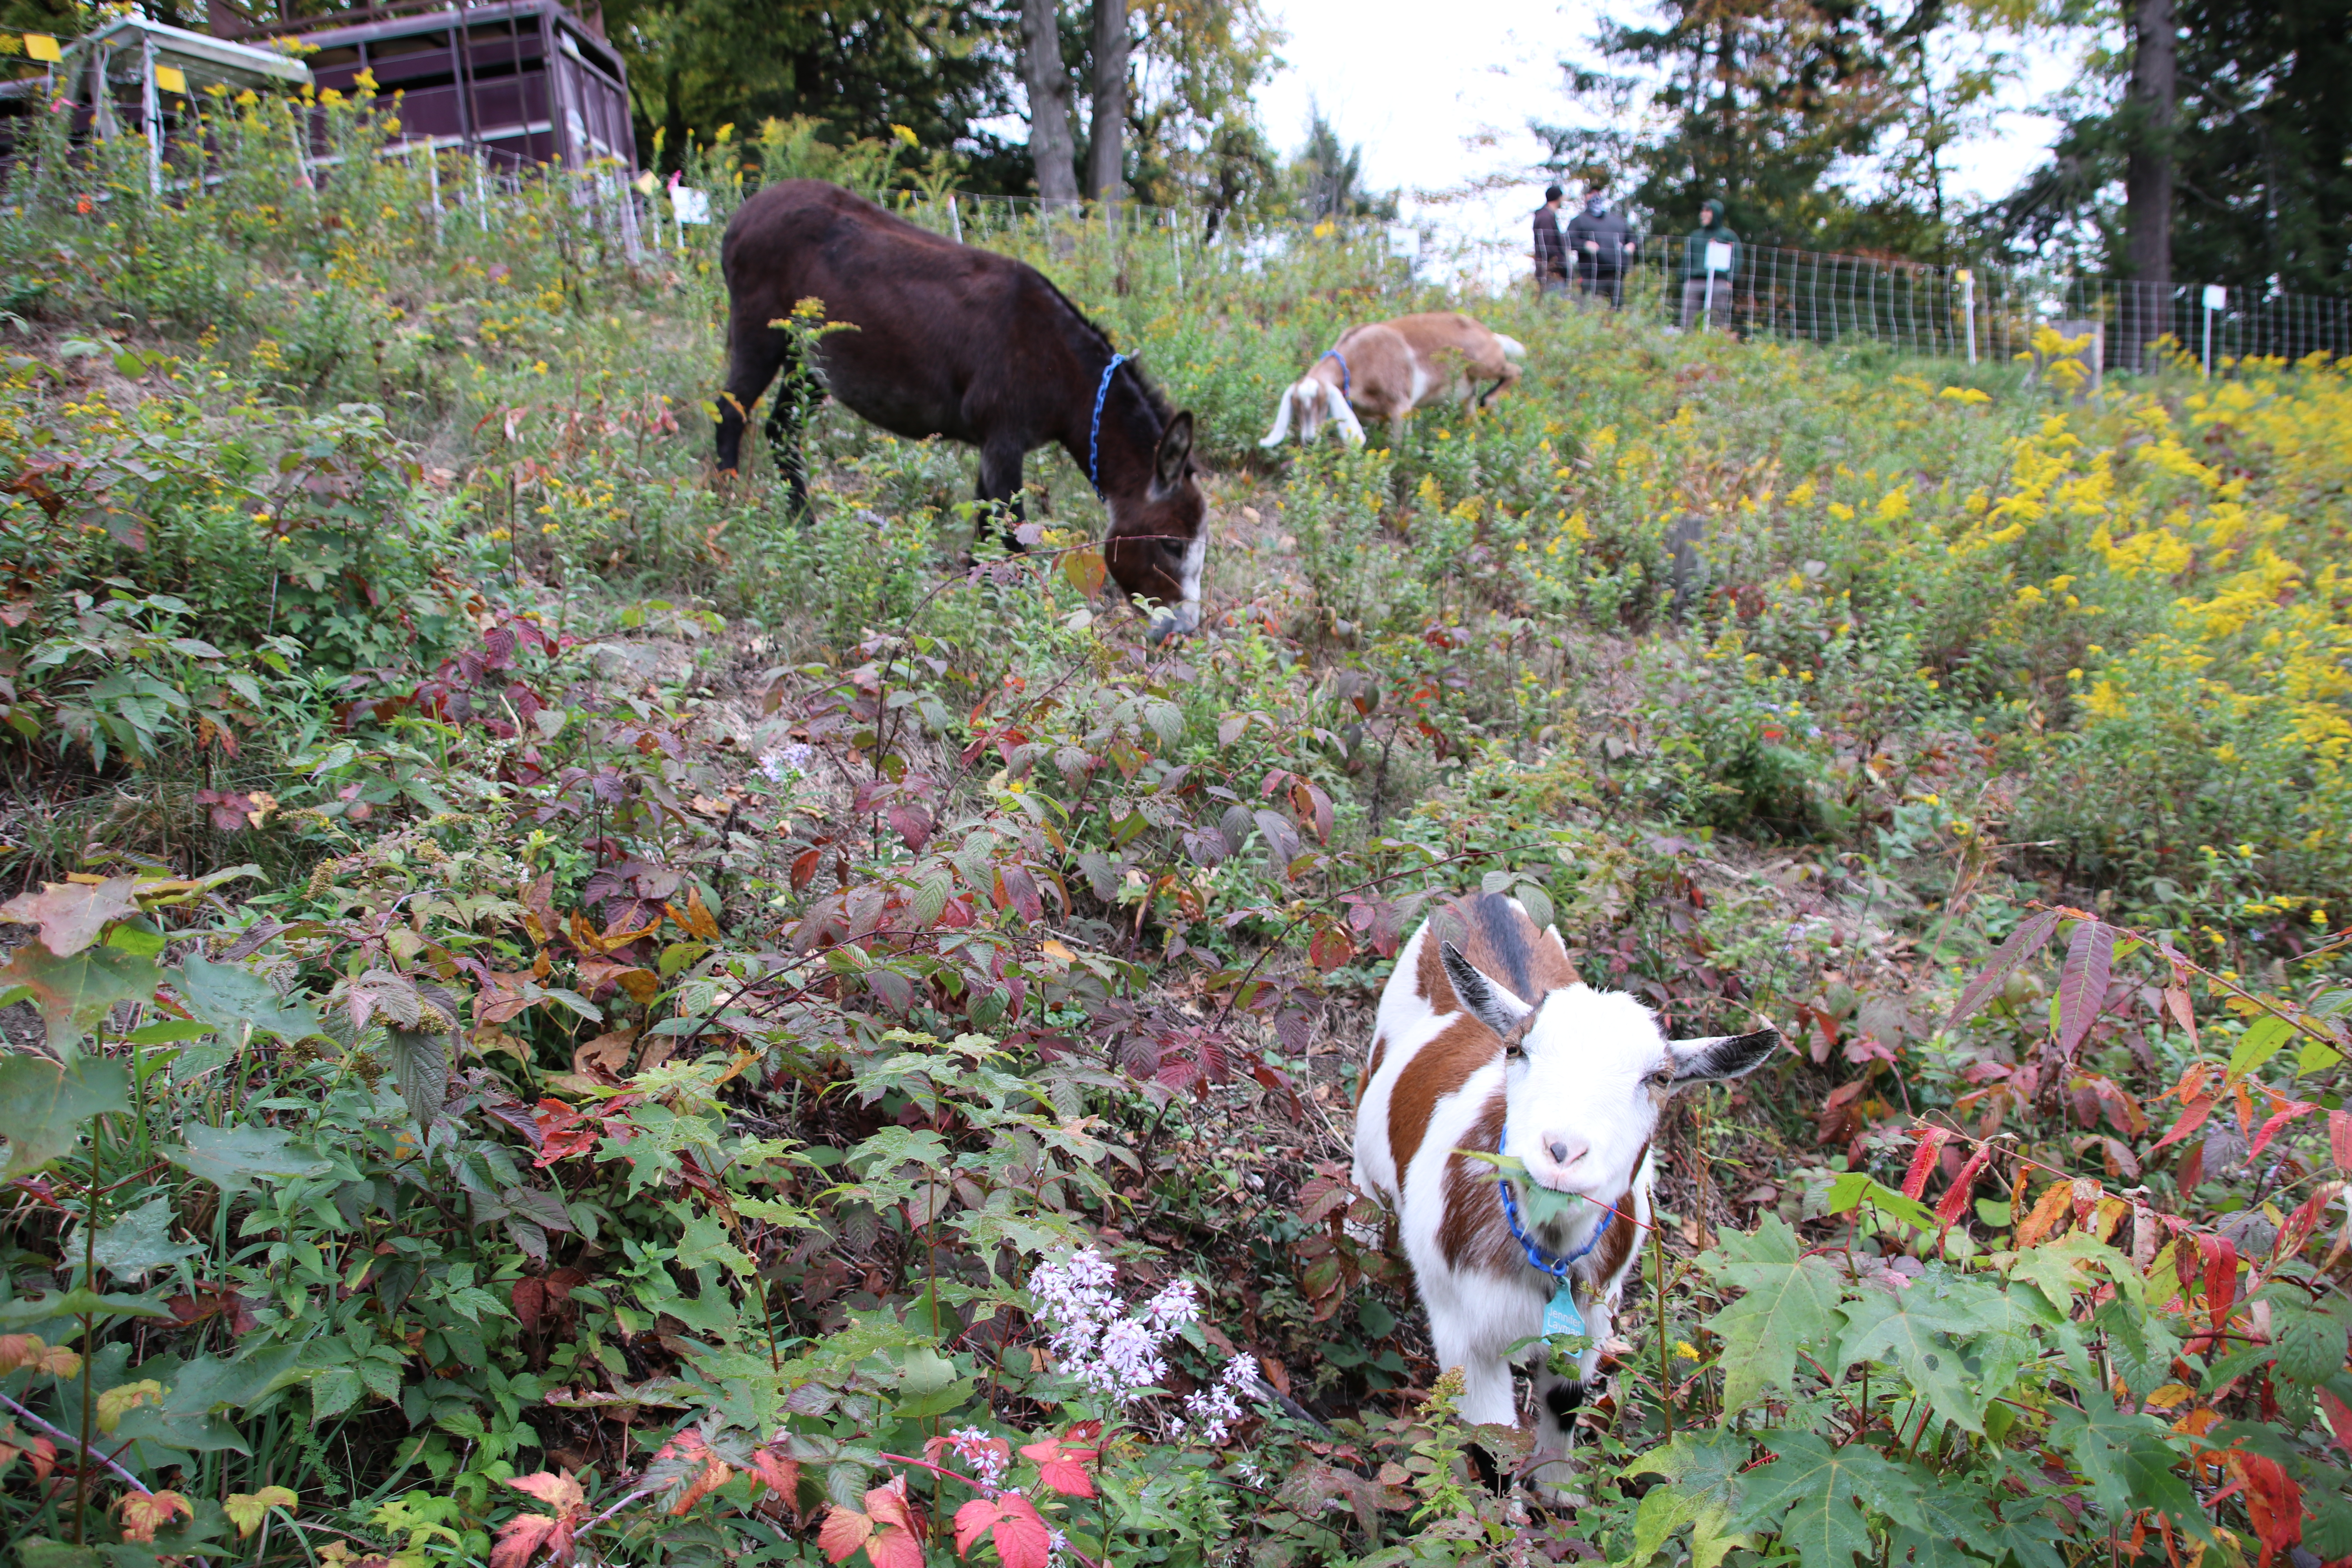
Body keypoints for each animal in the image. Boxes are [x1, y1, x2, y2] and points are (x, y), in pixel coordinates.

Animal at [1261, 310, 1534, 446]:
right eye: (1296, 406)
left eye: (1322, 402)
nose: (1308, 440)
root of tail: (1492, 336)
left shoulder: (1400, 405)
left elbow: (1398, 445)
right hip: (1467, 389)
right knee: (1471, 407)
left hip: (1484, 364)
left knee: (1515, 371)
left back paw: (1491, 400)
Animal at [1355, 893, 1769, 1495]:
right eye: (1517, 1049)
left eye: (1660, 1079)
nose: (1561, 1150)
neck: (1545, 1252)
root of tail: (1483, 898)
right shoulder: (1465, 1332)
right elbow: (1492, 1443)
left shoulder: (1594, 1321)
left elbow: (1565, 1402)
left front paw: (1557, 1492)